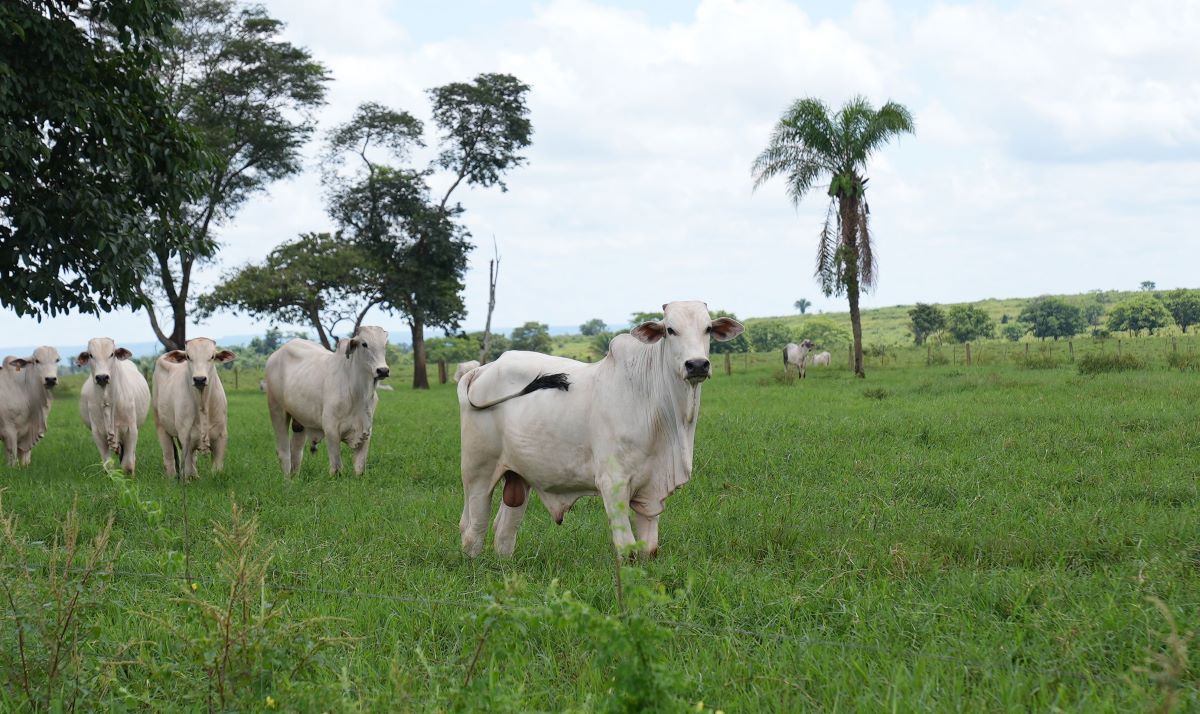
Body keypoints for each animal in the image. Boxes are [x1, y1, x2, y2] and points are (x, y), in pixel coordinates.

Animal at [77, 336, 151, 472]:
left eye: (112, 354)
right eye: (91, 355)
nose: (102, 377)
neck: (108, 400)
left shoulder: (131, 430)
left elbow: (128, 465)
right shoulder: (97, 434)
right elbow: (108, 465)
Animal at [153, 338, 235, 480]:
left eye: (212, 356)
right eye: (188, 357)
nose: (199, 379)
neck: (203, 403)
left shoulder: (221, 436)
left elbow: (217, 469)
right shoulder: (185, 437)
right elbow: (188, 469)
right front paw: (188, 478)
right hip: (161, 426)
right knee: (169, 456)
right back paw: (172, 477)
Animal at [266, 326, 388, 477]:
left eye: (385, 345)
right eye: (364, 344)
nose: (383, 370)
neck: (358, 393)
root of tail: (275, 354)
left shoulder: (366, 432)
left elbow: (359, 468)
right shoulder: (331, 430)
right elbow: (336, 468)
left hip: (300, 421)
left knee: (296, 451)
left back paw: (295, 478)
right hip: (277, 410)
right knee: (284, 452)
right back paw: (287, 479)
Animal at [456, 300, 739, 559]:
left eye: (708, 328)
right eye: (670, 330)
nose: (697, 364)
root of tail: (480, 370)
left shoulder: (651, 491)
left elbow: (648, 549)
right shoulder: (612, 483)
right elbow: (627, 548)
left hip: (518, 475)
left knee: (504, 530)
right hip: (478, 472)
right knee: (473, 530)